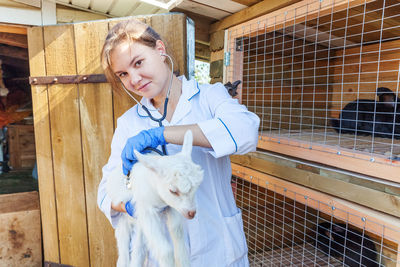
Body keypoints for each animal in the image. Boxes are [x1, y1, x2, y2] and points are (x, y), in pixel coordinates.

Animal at [106, 131, 203, 267]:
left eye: (196, 187)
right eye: (173, 191)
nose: (191, 213)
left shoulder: (171, 208)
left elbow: (177, 233)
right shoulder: (146, 209)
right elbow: (165, 250)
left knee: (138, 250)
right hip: (123, 219)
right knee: (124, 252)